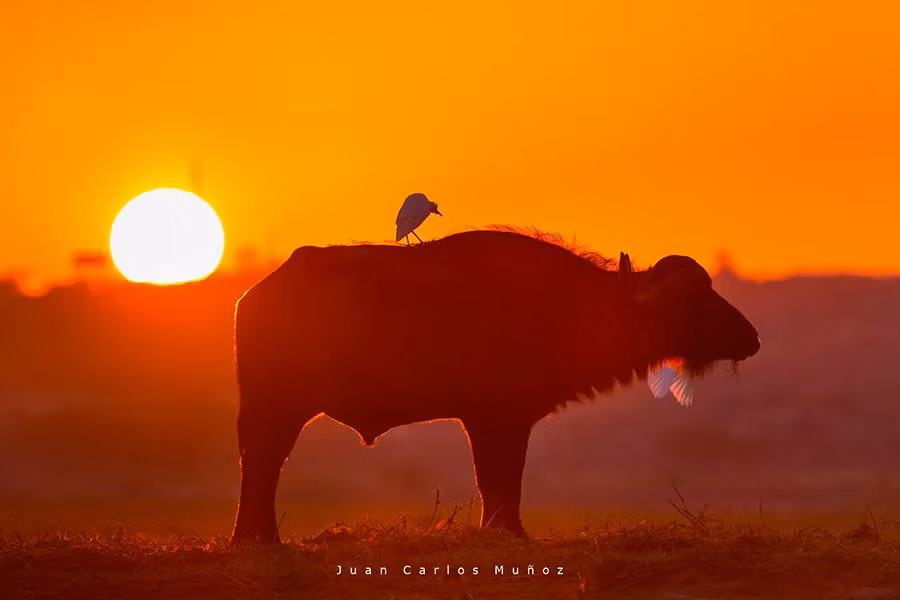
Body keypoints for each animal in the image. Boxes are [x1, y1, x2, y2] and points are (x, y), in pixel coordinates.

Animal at [231, 227, 760, 543]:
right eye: (691, 299)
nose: (752, 338)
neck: (575, 306)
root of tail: (256, 294)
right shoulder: (498, 419)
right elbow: (501, 478)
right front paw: (509, 532)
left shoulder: (499, 421)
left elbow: (500, 479)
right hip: (275, 406)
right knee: (262, 462)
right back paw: (255, 540)